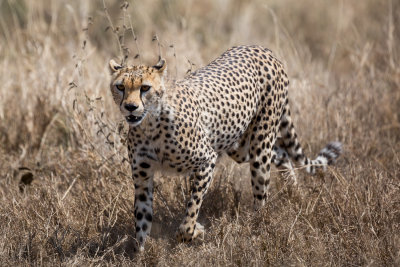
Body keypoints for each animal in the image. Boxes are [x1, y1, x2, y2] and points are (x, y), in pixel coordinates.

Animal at [108, 45, 342, 252]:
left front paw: (194, 230)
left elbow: (192, 209)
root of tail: (261, 48)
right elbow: (142, 219)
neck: (149, 124)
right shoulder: (142, 177)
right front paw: (140, 254)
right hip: (240, 145)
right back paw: (295, 192)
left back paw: (259, 227)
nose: (130, 107)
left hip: (260, 144)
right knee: (282, 154)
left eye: (144, 88)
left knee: (262, 189)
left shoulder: (206, 160)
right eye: (120, 87)